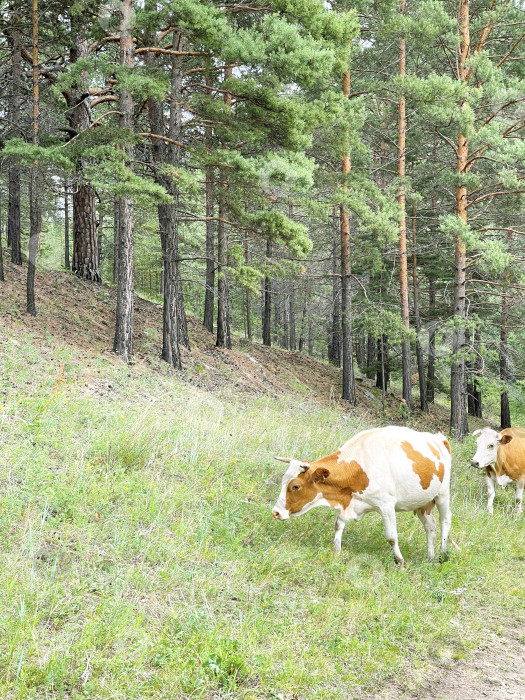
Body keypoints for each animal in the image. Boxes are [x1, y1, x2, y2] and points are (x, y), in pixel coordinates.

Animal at [272, 424, 452, 568]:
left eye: (296, 486)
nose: (276, 512)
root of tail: (438, 438)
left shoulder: (386, 505)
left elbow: (392, 537)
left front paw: (400, 562)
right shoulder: (347, 502)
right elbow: (338, 525)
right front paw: (336, 552)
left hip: (442, 494)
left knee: (445, 521)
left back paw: (442, 554)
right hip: (422, 502)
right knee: (430, 526)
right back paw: (430, 558)